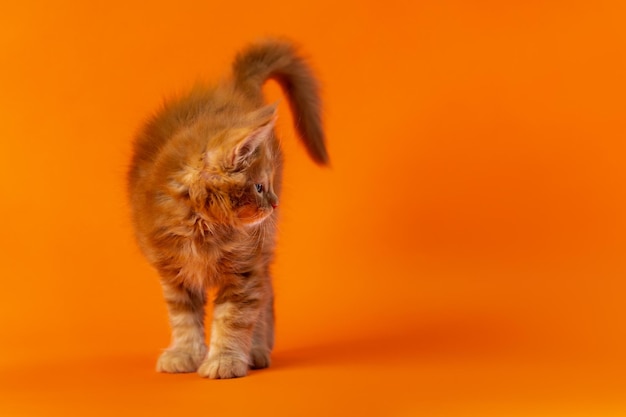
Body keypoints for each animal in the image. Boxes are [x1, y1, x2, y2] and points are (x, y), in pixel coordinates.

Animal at [127, 39, 326, 376]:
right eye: (259, 187)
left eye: (268, 184)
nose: (275, 203)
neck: (201, 227)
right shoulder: (173, 270)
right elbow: (184, 318)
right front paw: (184, 353)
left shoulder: (244, 268)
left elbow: (234, 319)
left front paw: (225, 360)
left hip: (263, 247)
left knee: (266, 295)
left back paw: (257, 350)